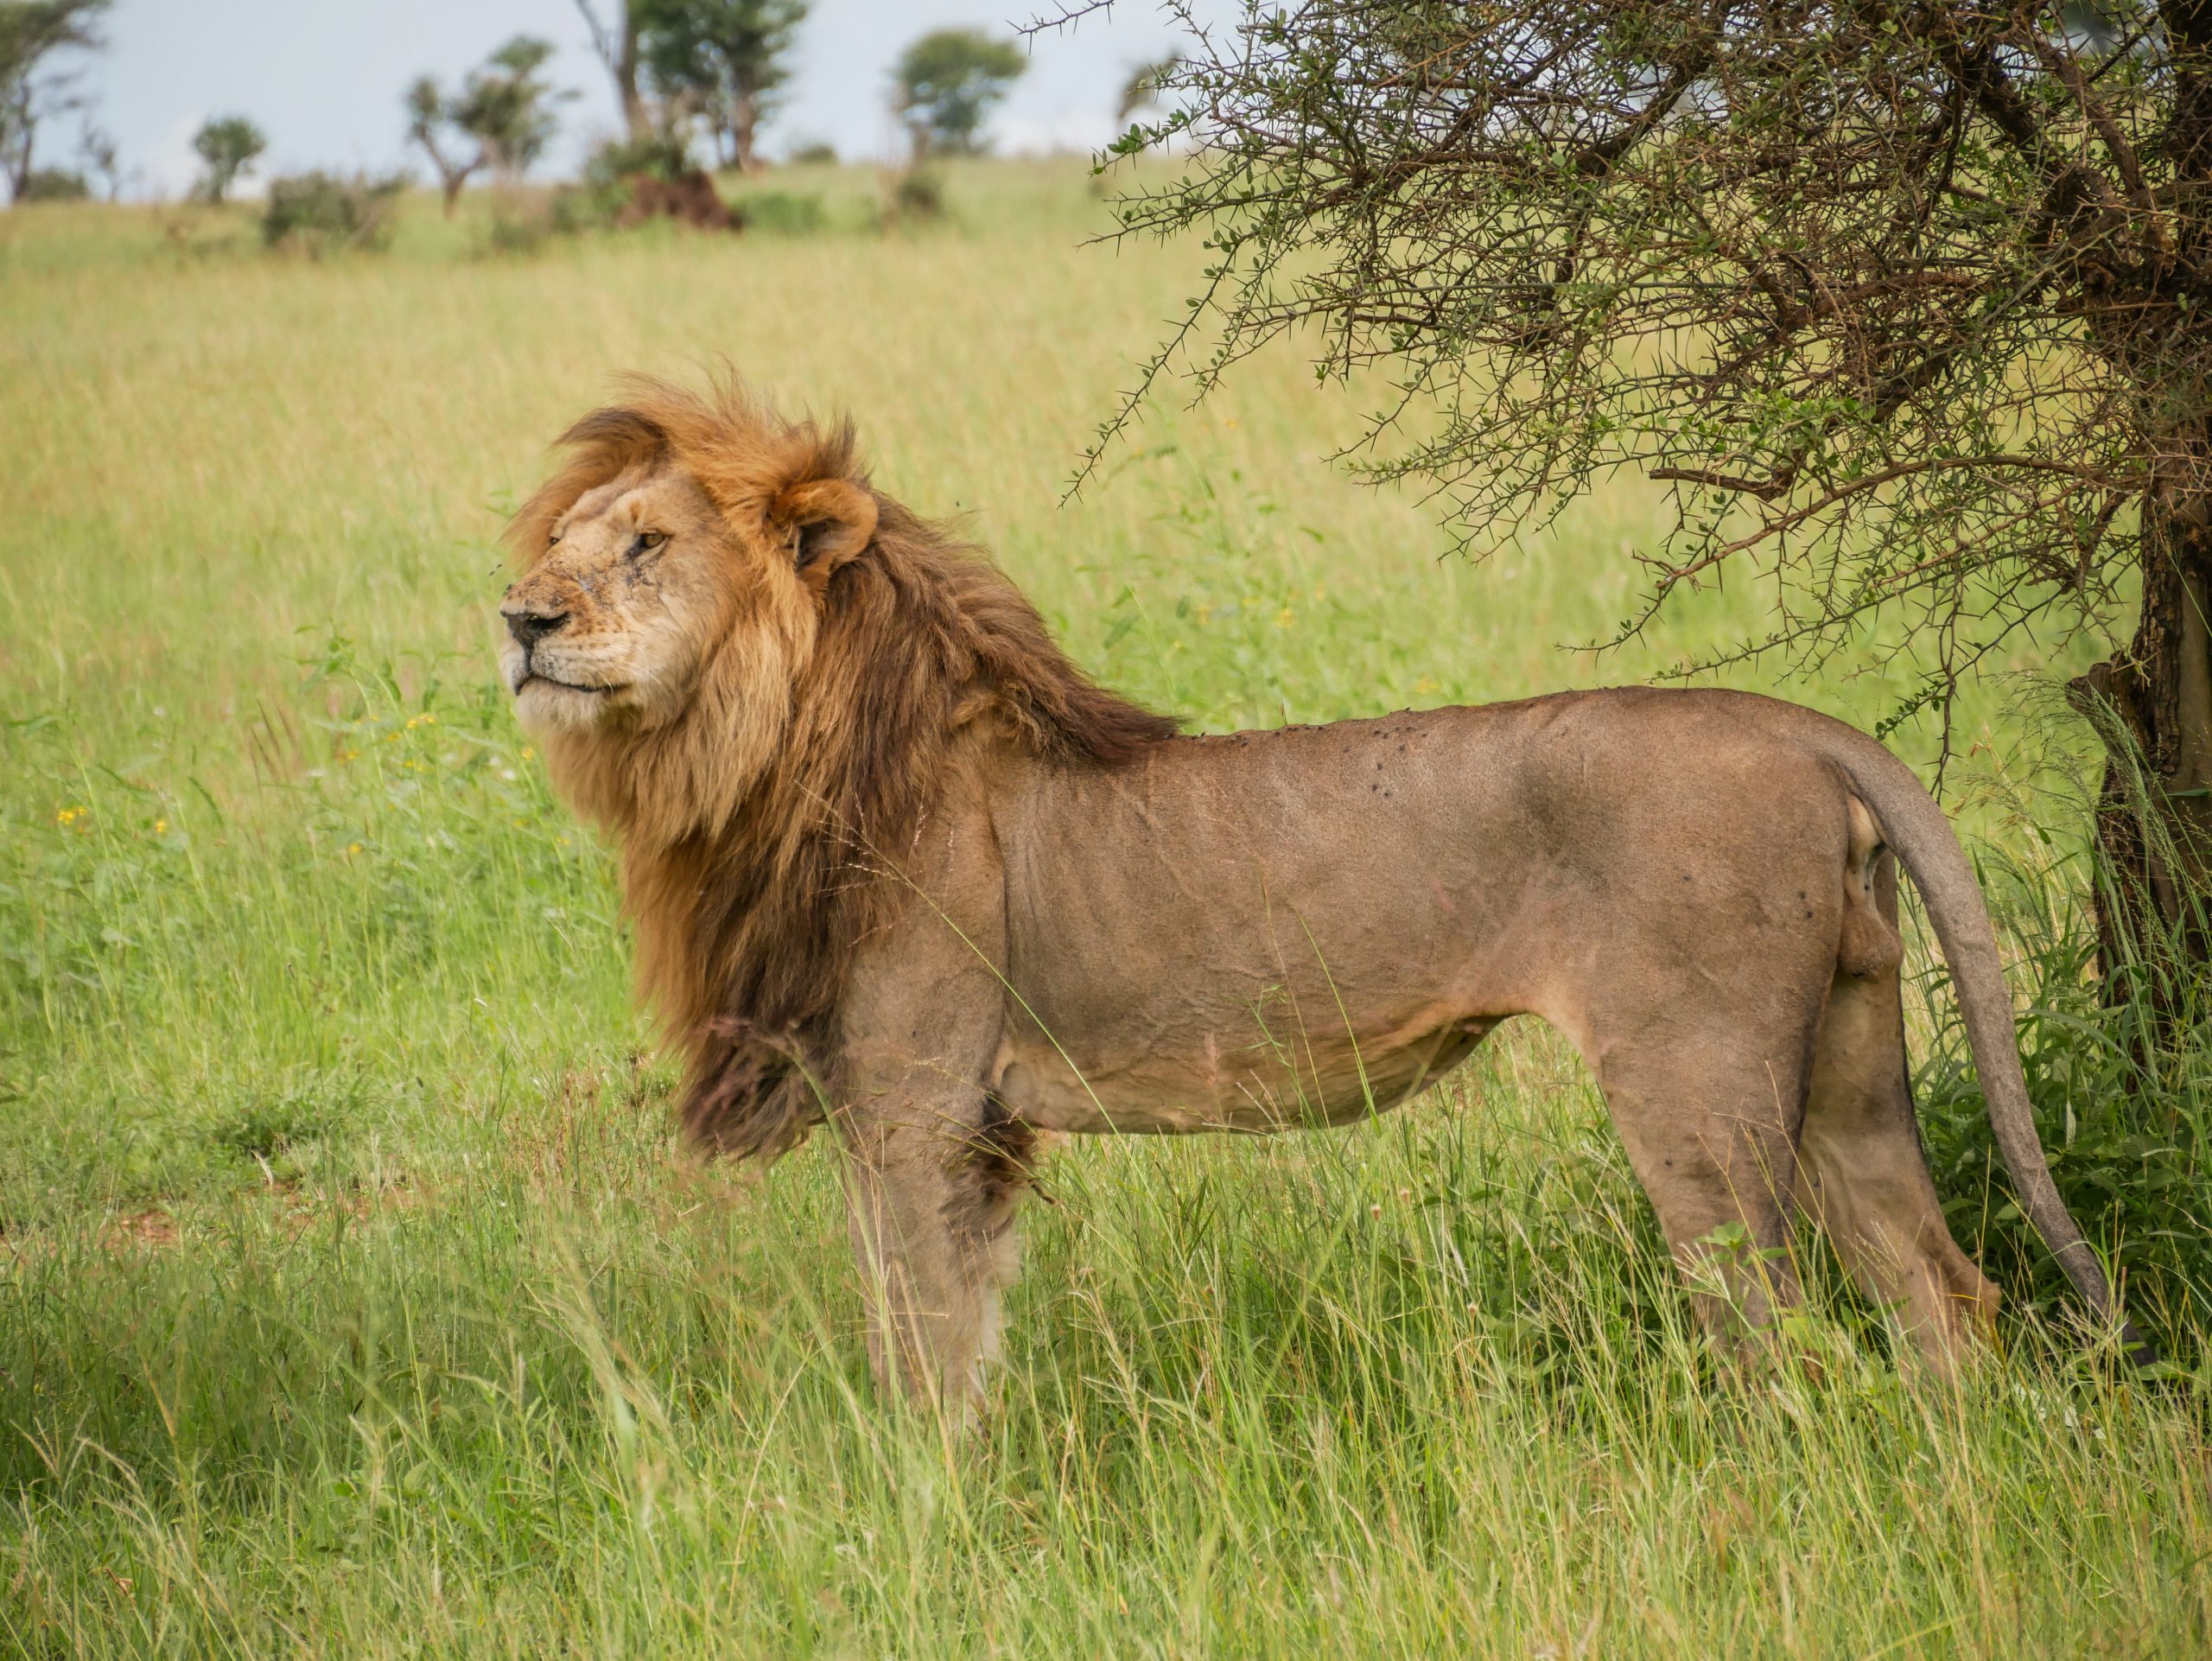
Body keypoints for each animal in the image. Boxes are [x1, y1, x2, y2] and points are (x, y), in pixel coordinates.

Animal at [498, 377, 2140, 1408]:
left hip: (1699, 1085)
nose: (517, 620)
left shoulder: (917, 1103)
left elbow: (918, 1345)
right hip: (1853, 1059)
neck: (770, 758)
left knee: (1782, 1338)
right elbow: (961, 1332)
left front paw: (921, 1515)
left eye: (645, 544)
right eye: (557, 546)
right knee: (1944, 1298)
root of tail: (1798, 723)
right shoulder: (957, 1120)